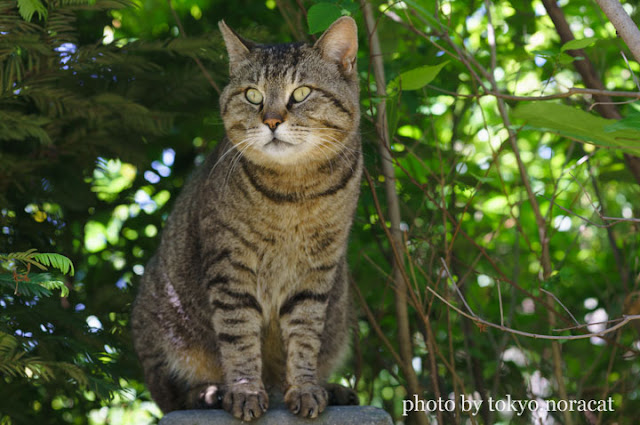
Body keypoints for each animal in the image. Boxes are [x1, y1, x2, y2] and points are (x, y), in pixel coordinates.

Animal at [130, 17, 360, 420]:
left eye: (301, 93)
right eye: (253, 95)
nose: (271, 120)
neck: (294, 192)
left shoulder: (317, 271)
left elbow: (304, 337)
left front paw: (305, 388)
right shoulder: (230, 268)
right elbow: (238, 338)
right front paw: (245, 391)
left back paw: (329, 388)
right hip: (161, 320)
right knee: (173, 396)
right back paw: (209, 393)